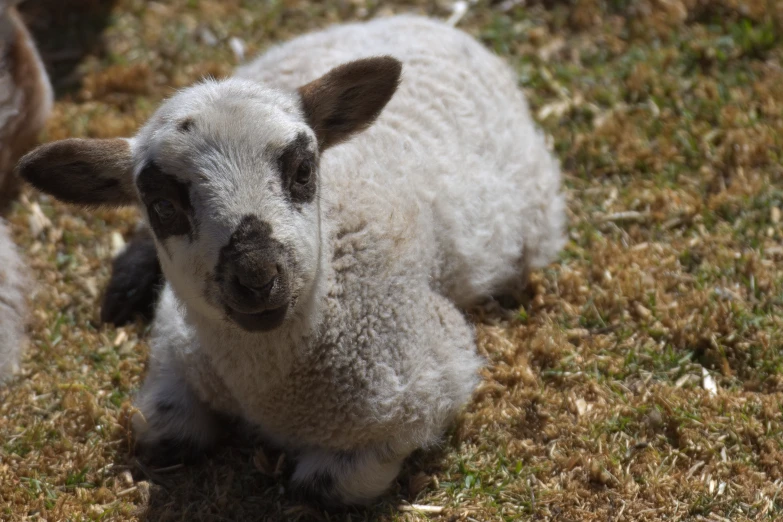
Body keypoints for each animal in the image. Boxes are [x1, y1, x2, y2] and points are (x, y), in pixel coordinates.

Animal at [18, 15, 568, 504]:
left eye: (303, 170)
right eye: (162, 206)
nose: (257, 276)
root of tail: (420, 20)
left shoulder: (430, 381)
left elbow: (319, 486)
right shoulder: (177, 343)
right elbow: (160, 433)